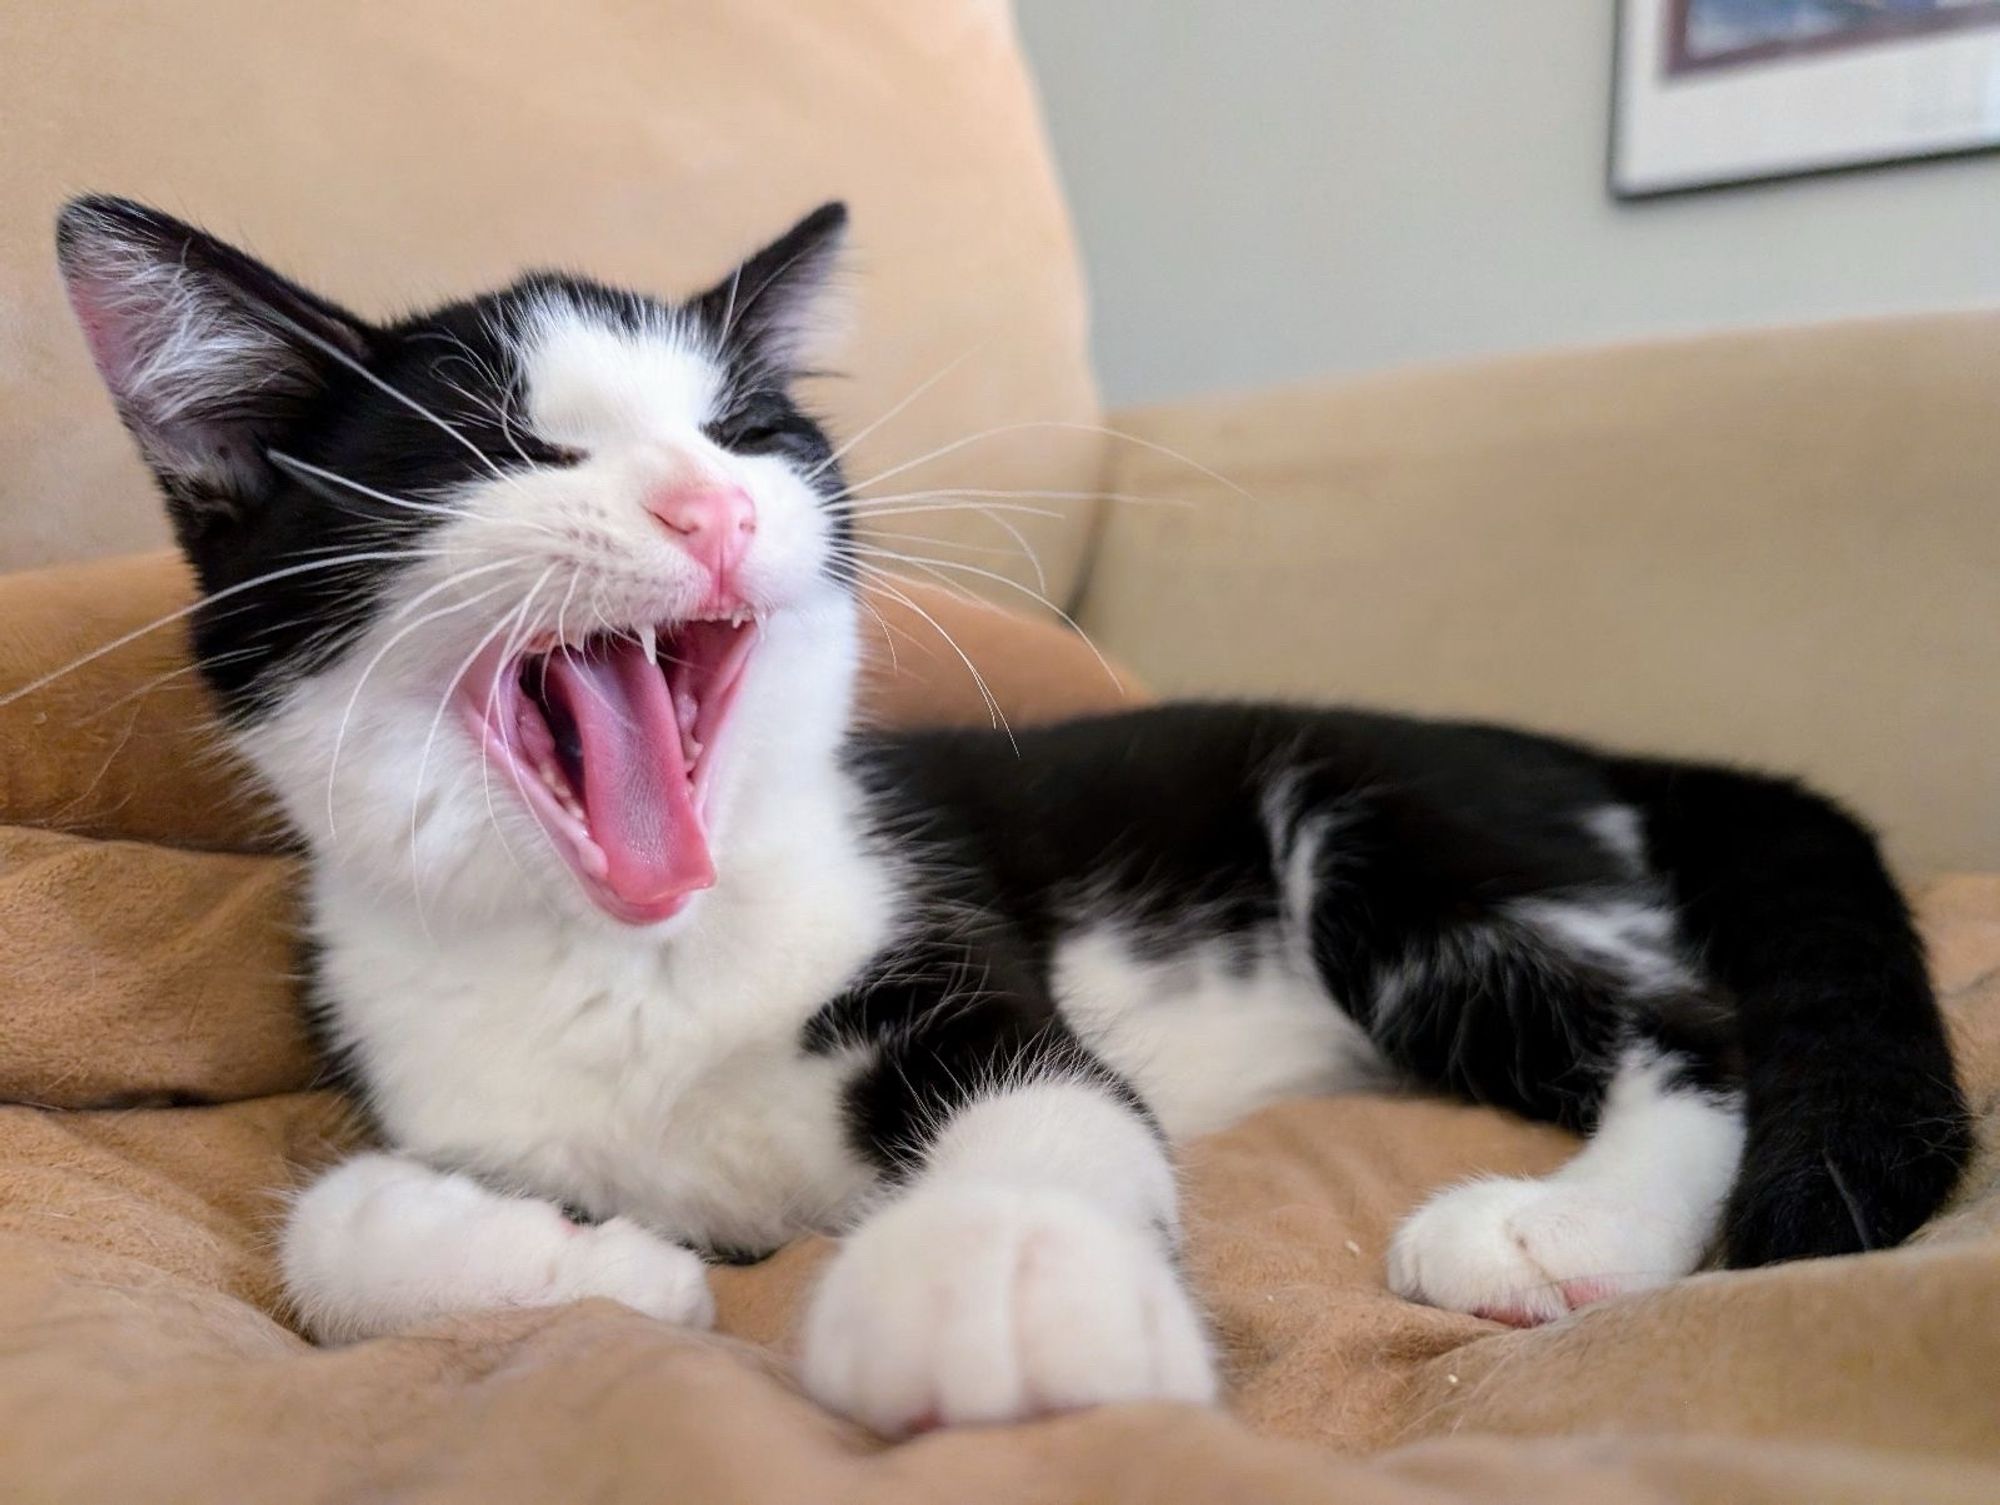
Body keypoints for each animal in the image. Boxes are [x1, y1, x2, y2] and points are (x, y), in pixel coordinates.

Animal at [54, 194, 1976, 1440]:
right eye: (489, 445)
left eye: (748, 432)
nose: (711, 508)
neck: (640, 956)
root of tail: (1567, 744)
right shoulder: (426, 1047)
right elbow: (326, 1220)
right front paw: (593, 1272)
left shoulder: (950, 944)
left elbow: (1056, 1110)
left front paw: (1000, 1279)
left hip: (1387, 830)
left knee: (1695, 1018)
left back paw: (1563, 1227)